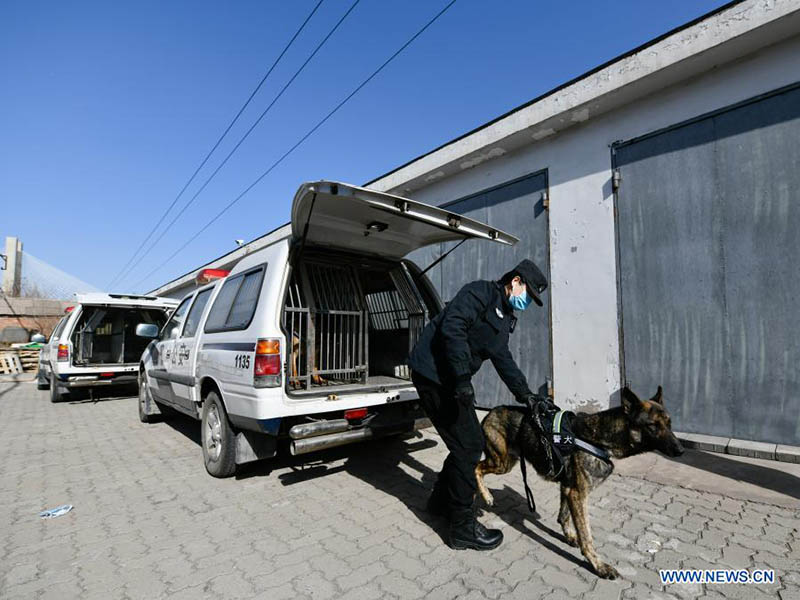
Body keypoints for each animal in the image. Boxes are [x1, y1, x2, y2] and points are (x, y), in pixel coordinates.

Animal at [472, 386, 684, 580]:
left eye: (670, 423)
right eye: (653, 425)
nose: (680, 450)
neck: (600, 438)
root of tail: (492, 410)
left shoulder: (568, 488)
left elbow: (564, 516)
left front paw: (569, 536)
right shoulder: (578, 494)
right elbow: (586, 535)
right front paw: (598, 565)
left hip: (508, 461)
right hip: (502, 462)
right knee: (476, 468)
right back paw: (486, 496)